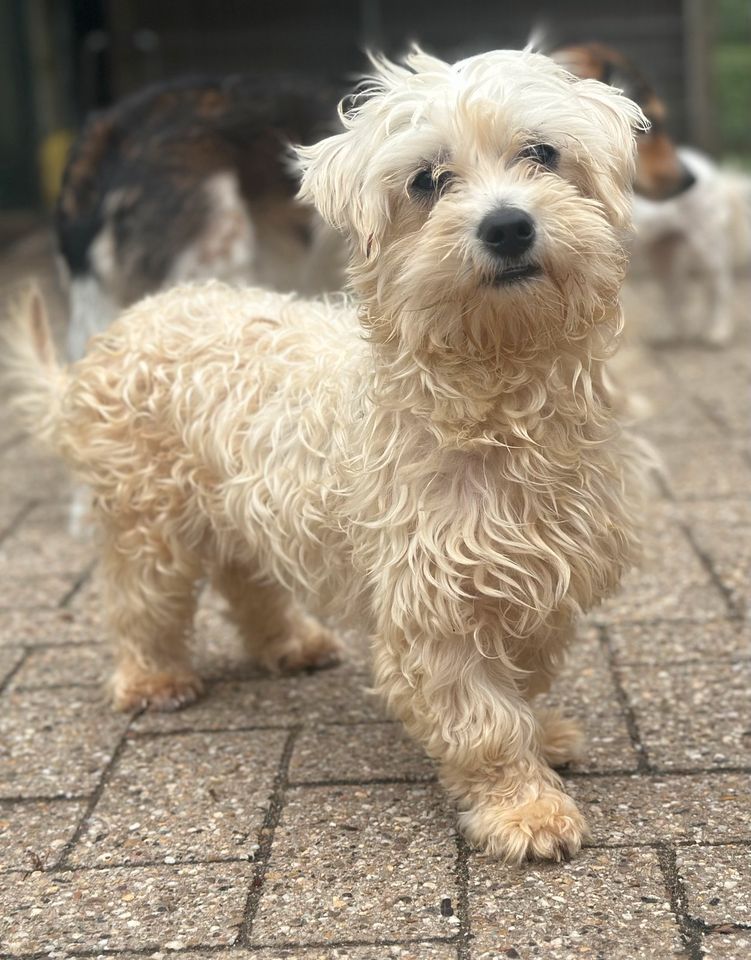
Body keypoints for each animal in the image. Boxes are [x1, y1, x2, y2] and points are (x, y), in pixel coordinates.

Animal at [1, 48, 648, 868]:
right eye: (426, 180)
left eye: (541, 152)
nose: (507, 226)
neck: (498, 405)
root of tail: (119, 330)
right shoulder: (430, 605)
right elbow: (486, 721)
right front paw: (526, 810)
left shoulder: (540, 577)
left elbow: (524, 683)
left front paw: (548, 737)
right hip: (149, 524)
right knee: (138, 604)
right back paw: (152, 680)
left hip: (238, 510)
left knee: (245, 585)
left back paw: (292, 644)